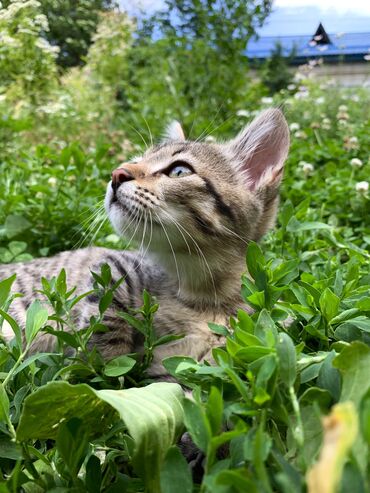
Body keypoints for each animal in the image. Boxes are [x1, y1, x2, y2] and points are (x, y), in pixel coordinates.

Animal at [0, 108, 290, 376]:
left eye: (179, 170)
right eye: (136, 160)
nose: (117, 173)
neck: (204, 294)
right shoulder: (112, 264)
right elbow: (107, 313)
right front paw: (100, 365)